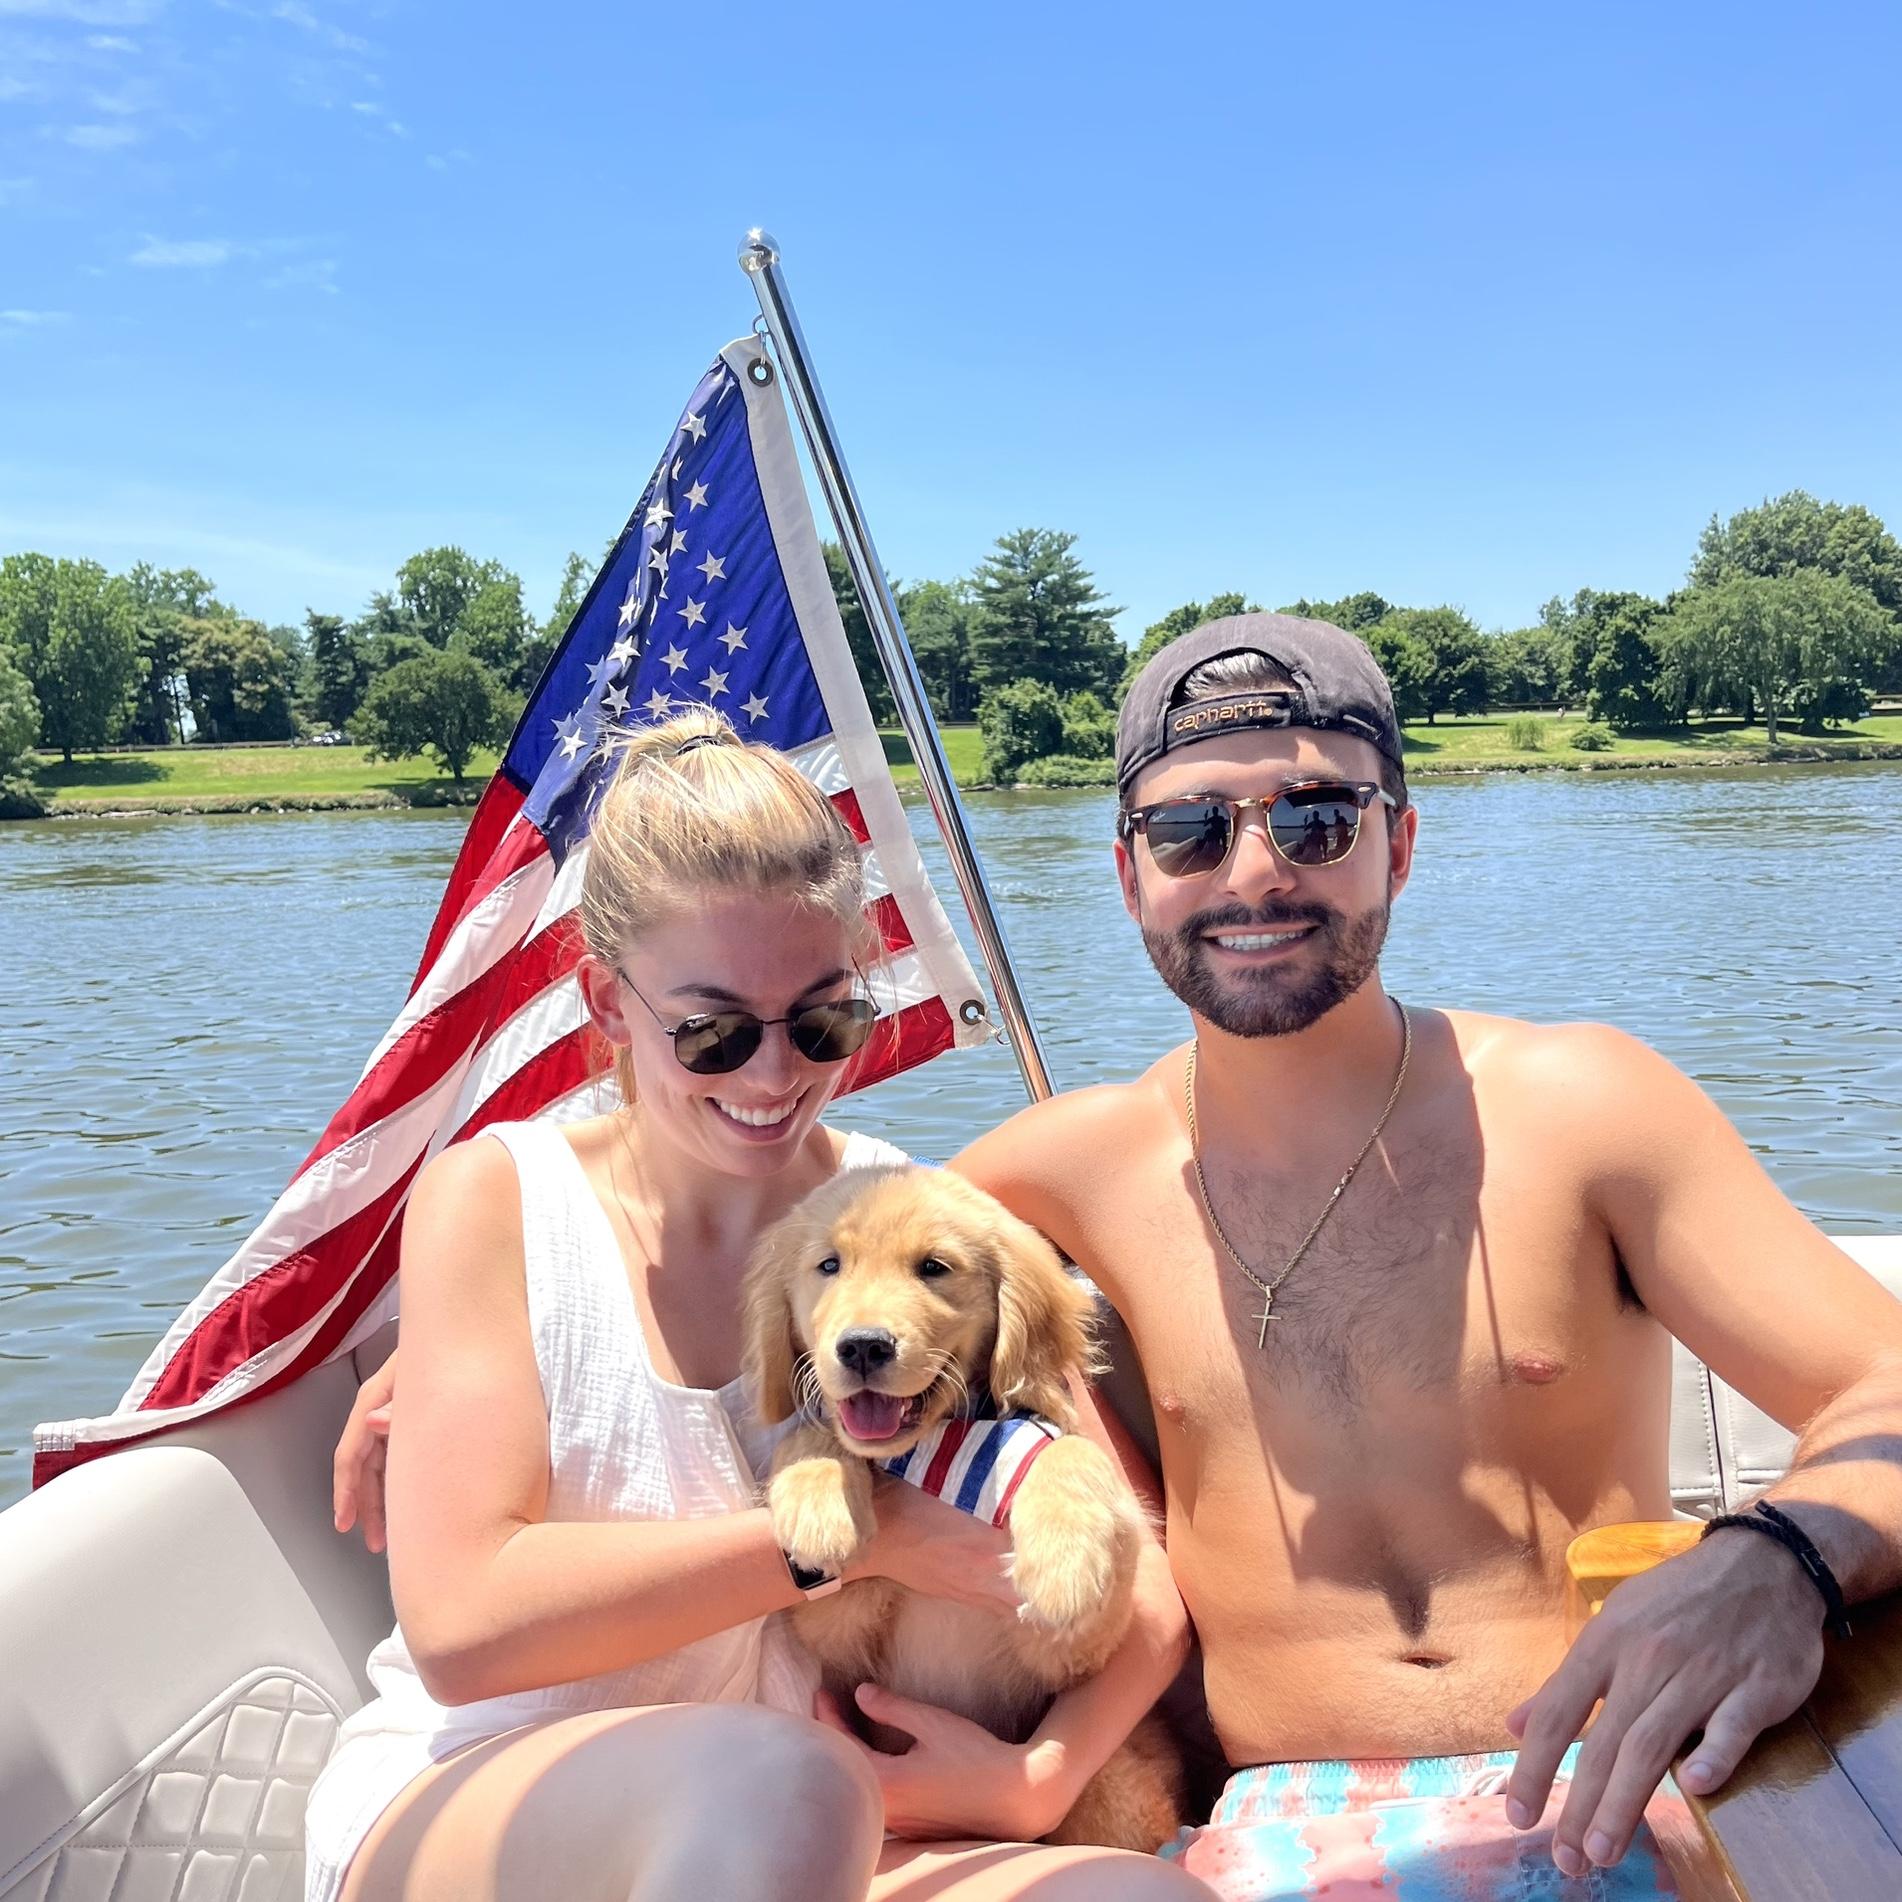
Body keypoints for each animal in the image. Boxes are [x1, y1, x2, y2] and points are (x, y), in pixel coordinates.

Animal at [741, 1163, 1185, 1852]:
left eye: (934, 1267)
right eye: (829, 1265)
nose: (862, 1347)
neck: (941, 1452)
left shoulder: (1068, 1650)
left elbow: (1071, 1453)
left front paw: (1065, 1563)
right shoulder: (838, 1634)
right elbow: (817, 1435)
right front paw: (819, 1496)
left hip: (1114, 1788)